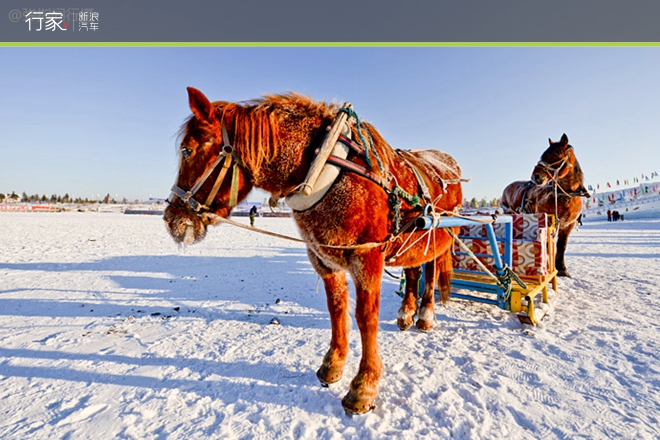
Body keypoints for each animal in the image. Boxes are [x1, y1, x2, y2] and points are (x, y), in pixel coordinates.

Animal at [164, 87, 464, 414]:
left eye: (188, 151)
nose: (170, 218)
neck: (321, 167)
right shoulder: (323, 257)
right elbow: (337, 308)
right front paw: (333, 363)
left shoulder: (367, 257)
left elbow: (365, 317)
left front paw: (364, 385)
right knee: (412, 273)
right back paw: (407, 311)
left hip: (437, 239)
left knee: (429, 275)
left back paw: (425, 315)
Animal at [502, 135, 592, 278]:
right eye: (543, 154)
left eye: (555, 153)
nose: (536, 176)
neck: (564, 196)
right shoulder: (547, 222)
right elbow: (547, 244)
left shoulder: (568, 225)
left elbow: (561, 245)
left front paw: (561, 268)